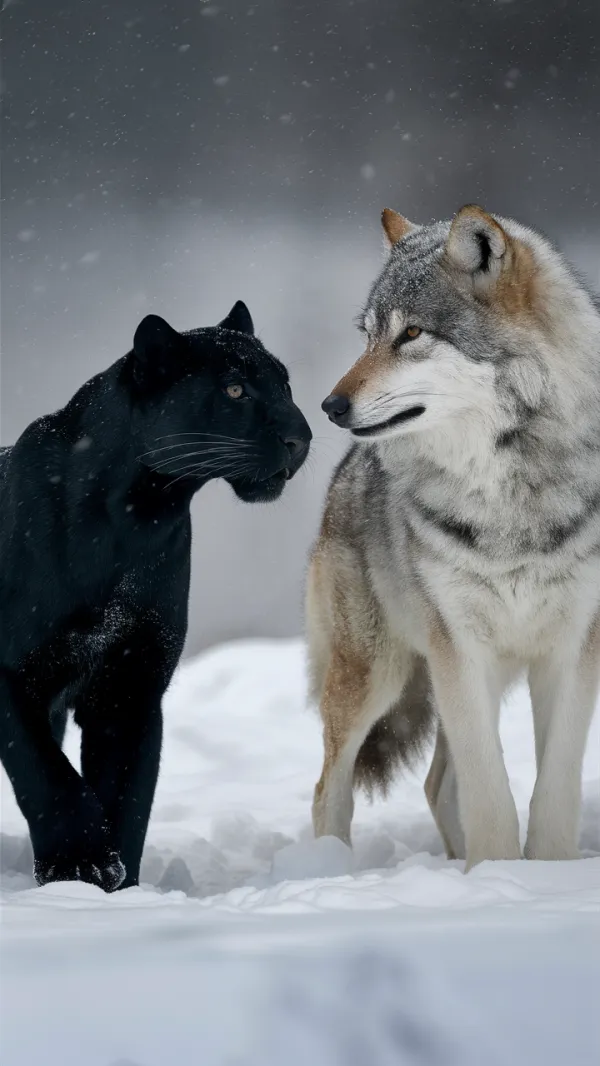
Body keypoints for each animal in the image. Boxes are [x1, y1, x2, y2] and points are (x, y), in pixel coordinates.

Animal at [0, 301, 311, 890]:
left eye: (285, 385)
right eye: (235, 389)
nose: (300, 437)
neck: (134, 516)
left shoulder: (131, 685)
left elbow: (126, 793)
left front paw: (115, 884)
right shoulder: (12, 675)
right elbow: (48, 776)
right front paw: (79, 865)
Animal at [308, 205, 600, 869]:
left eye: (412, 334)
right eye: (368, 334)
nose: (330, 405)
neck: (510, 491)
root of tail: (344, 473)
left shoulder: (572, 650)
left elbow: (554, 790)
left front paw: (540, 874)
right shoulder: (459, 649)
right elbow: (491, 794)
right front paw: (498, 875)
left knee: (437, 783)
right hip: (376, 676)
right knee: (329, 789)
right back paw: (329, 870)